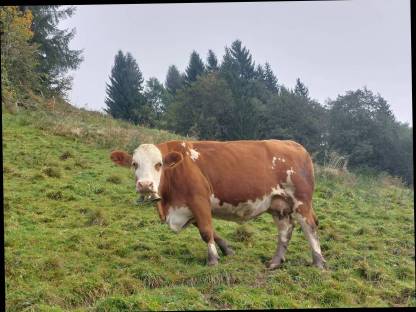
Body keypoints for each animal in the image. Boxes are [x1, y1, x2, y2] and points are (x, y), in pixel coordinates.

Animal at [112, 140, 326, 270]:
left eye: (159, 164)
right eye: (134, 164)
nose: (145, 185)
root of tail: (293, 144)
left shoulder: (199, 199)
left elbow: (206, 231)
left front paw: (213, 260)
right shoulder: (190, 209)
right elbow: (210, 230)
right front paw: (227, 250)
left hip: (301, 201)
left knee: (309, 227)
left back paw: (318, 262)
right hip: (278, 204)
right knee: (285, 230)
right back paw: (275, 262)